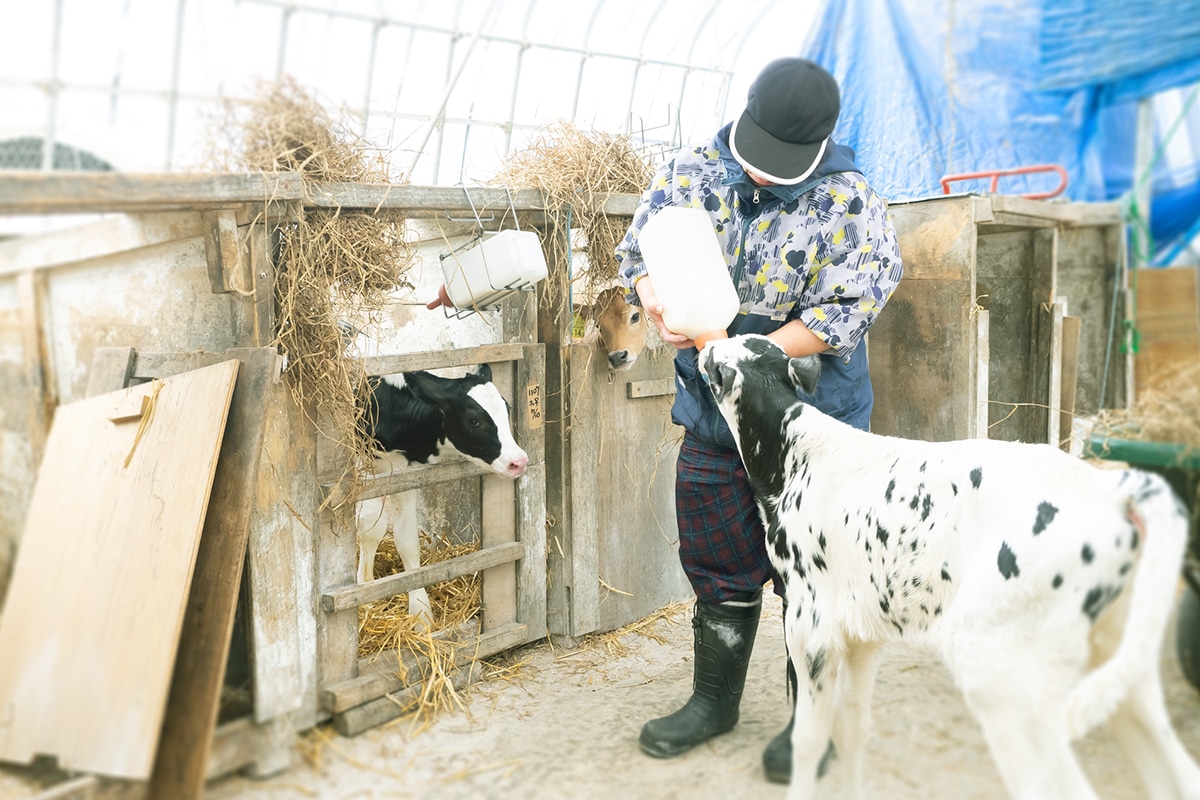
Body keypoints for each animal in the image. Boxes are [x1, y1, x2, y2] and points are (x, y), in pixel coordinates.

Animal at [352, 364, 528, 633]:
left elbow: (406, 540)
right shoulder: (362, 463)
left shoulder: (405, 472)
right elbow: (370, 524)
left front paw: (420, 614)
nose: (518, 461)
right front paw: (365, 592)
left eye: (506, 408)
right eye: (474, 420)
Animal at [700, 335, 1200, 800]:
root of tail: (1111, 486)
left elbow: (809, 741)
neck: (796, 456)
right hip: (1118, 662)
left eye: (716, 357)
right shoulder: (862, 635)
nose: (702, 345)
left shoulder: (811, 629)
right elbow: (854, 730)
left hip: (1000, 674)